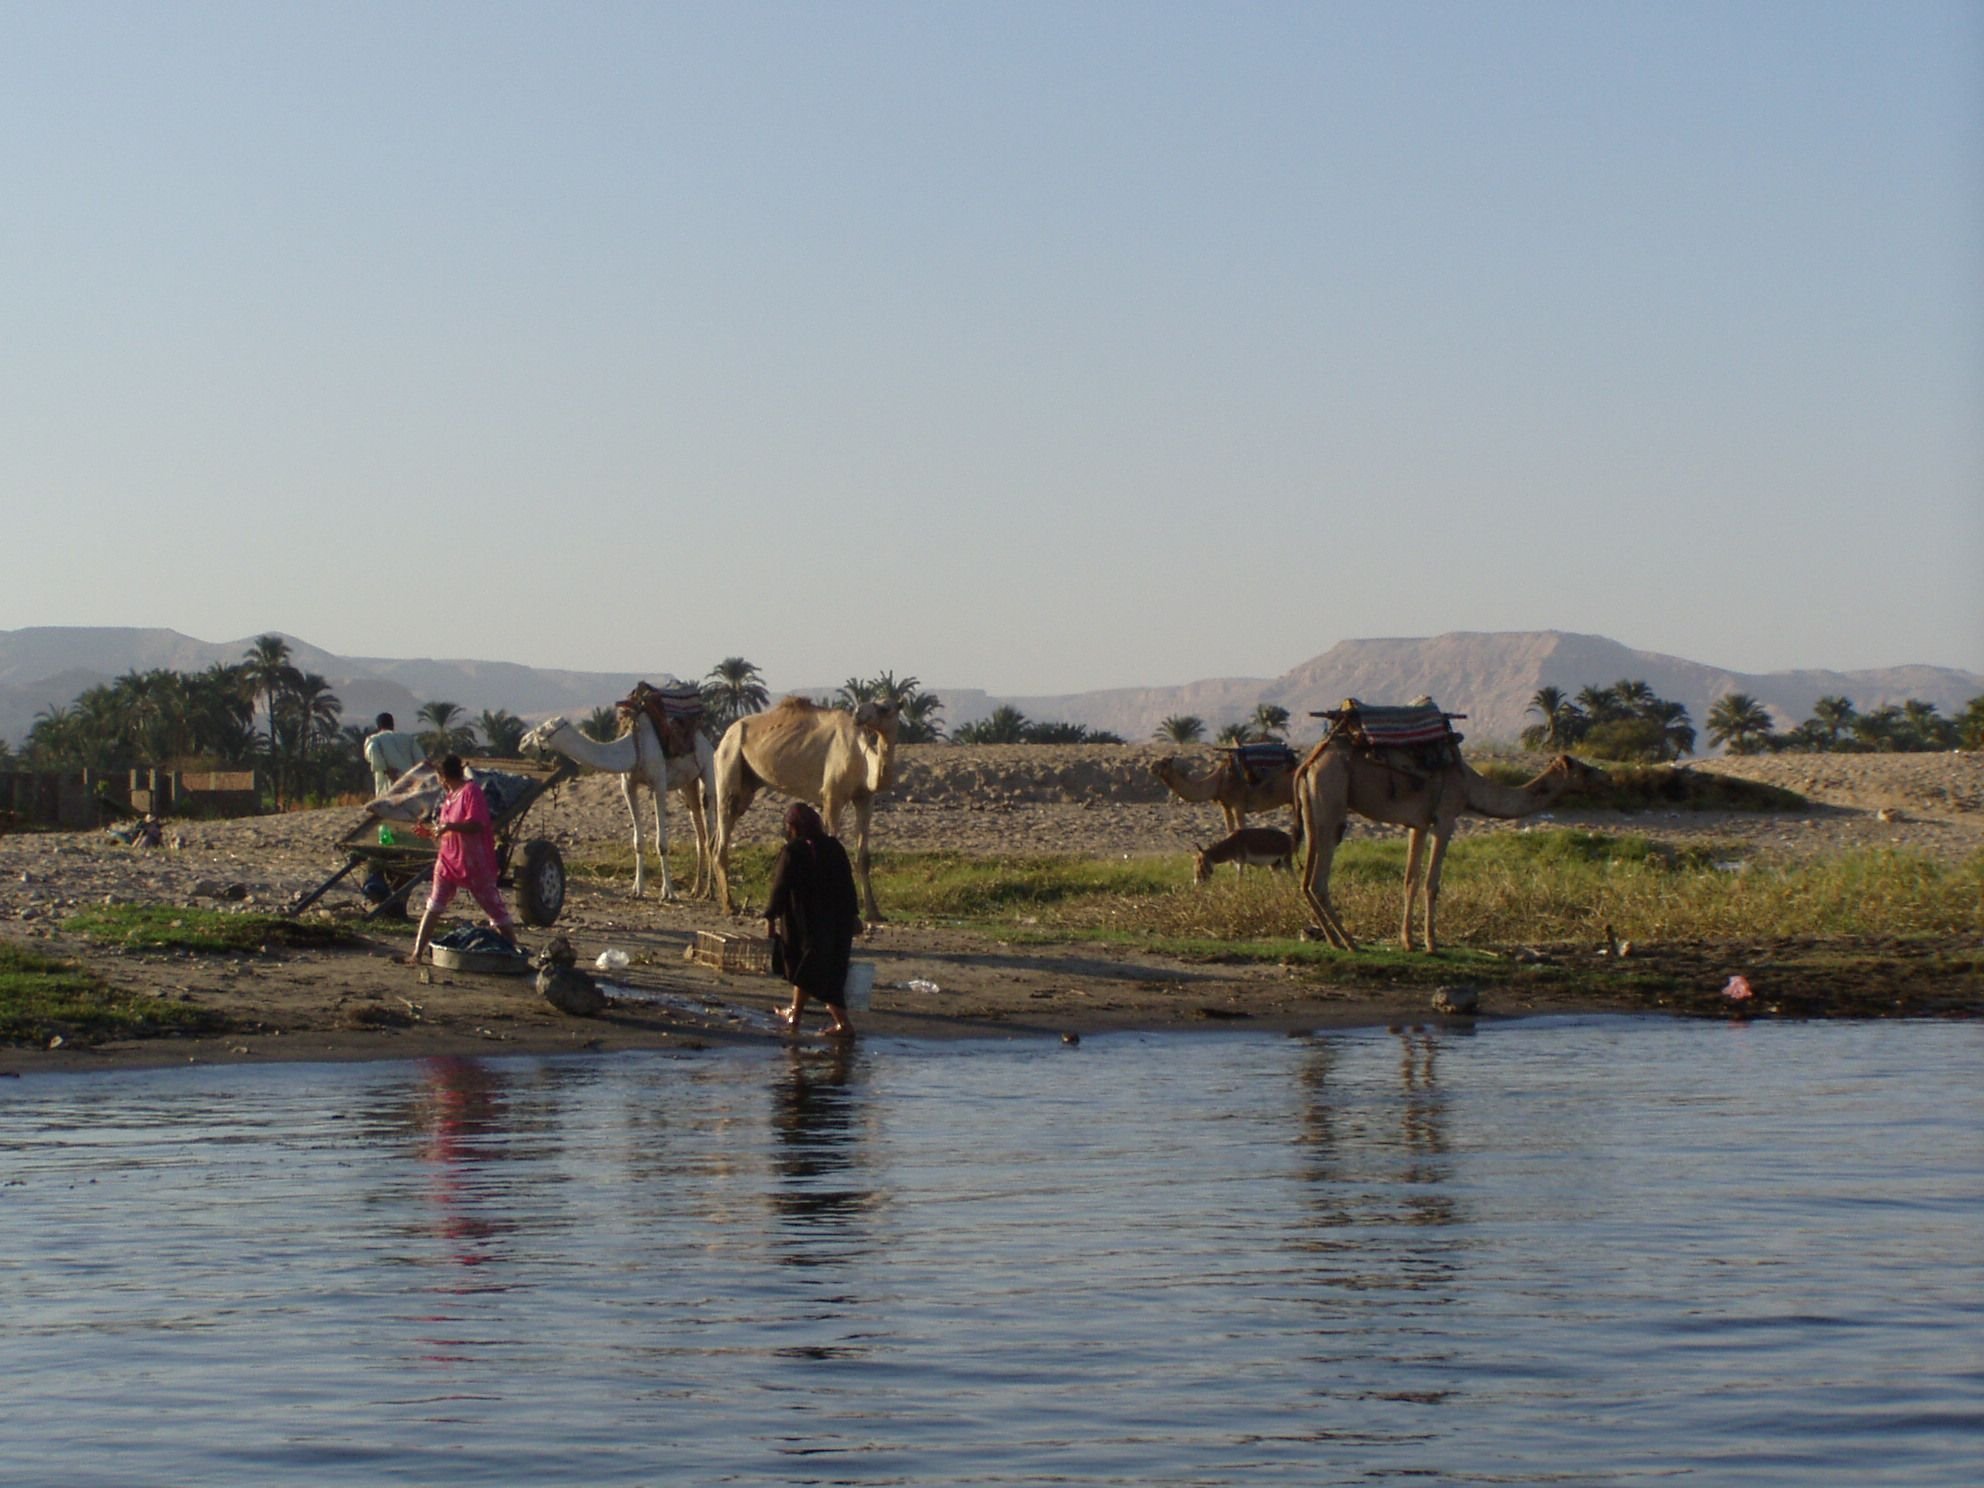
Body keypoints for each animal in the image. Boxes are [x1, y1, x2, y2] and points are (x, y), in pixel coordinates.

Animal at [519, 706, 722, 904]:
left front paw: (668, 893)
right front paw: (637, 891)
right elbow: (638, 841)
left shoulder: (659, 782)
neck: (633, 748)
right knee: (700, 834)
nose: (522, 742)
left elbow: (662, 843)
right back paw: (696, 890)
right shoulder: (628, 785)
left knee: (710, 829)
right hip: (687, 786)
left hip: (708, 772)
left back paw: (710, 892)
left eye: (541, 730)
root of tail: (708, 742)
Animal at [710, 698, 904, 920]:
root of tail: (724, 737)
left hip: (747, 785)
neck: (861, 760)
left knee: (717, 836)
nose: (858, 713)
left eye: (884, 707)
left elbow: (863, 857)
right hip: (729, 762)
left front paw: (874, 913)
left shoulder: (865, 798)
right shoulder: (832, 796)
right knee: (721, 837)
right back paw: (729, 906)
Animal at [1150, 757, 1301, 841]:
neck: (1218, 782)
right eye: (1156, 762)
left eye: (1164, 763)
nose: (1151, 767)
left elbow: (1241, 830)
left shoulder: (1238, 805)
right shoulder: (1226, 806)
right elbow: (1229, 832)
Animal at [1293, 745, 1603, 956]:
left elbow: (1410, 880)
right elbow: (1432, 883)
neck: (1470, 785)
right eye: (1584, 769)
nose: (1606, 777)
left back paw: (1334, 939)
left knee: (1306, 879)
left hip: (1313, 809)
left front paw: (1408, 942)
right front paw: (1432, 944)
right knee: (1319, 879)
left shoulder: (1417, 824)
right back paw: (1350, 941)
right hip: (1333, 798)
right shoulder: (1445, 819)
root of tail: (1308, 764)